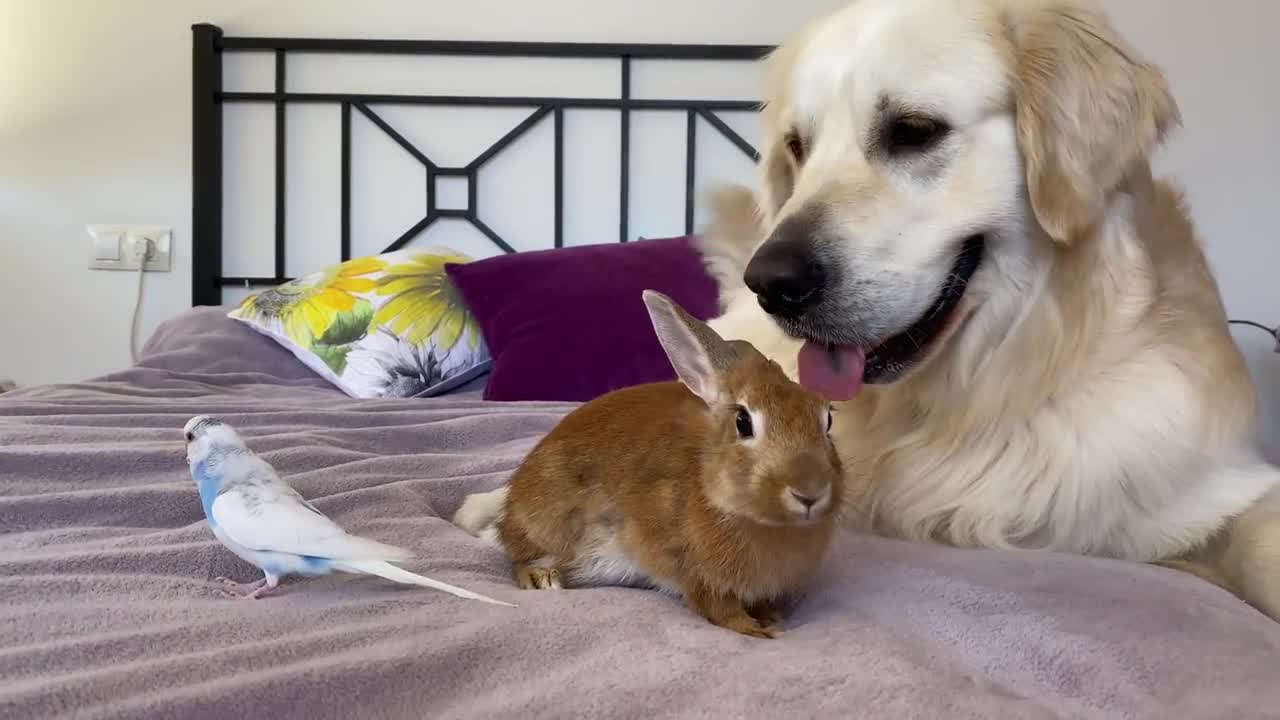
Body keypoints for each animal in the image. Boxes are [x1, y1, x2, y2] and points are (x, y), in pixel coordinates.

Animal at [471, 288, 839, 635]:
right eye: (743, 423)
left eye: (828, 420)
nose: (810, 493)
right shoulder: (690, 569)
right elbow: (719, 608)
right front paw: (757, 631)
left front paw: (771, 618)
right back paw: (543, 578)